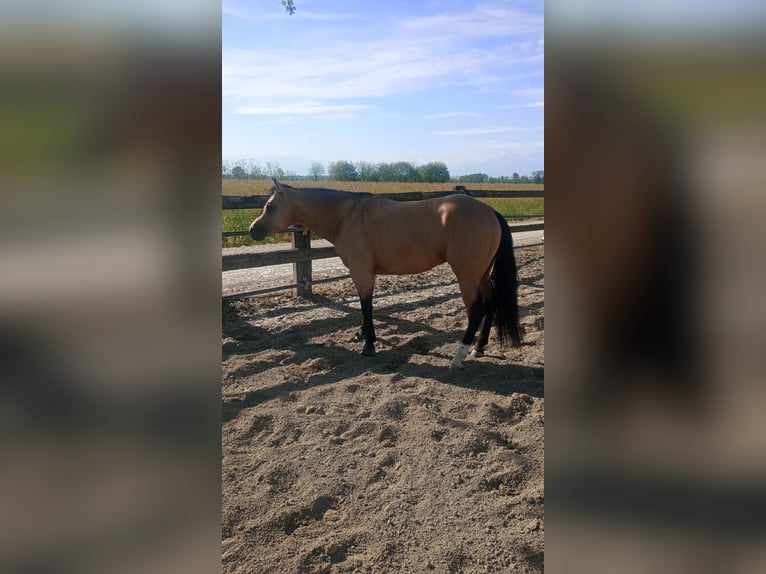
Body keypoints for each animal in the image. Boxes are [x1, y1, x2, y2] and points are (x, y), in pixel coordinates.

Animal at [249, 178, 524, 372]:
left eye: (270, 206)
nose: (253, 230)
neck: (346, 216)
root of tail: (490, 212)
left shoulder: (360, 271)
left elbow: (366, 306)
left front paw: (369, 345)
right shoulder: (366, 272)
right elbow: (365, 306)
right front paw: (362, 333)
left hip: (467, 277)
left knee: (477, 310)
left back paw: (458, 357)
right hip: (482, 275)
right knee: (491, 304)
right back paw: (479, 348)